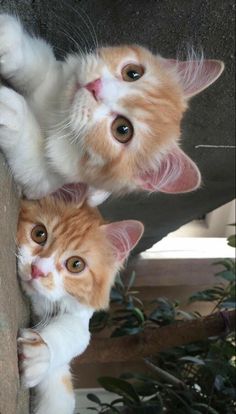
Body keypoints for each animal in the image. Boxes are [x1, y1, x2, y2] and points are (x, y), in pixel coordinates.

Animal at [0, 14, 224, 205]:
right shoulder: (54, 74)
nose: (95, 87)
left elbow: (33, 161)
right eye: (132, 73)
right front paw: (8, 41)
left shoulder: (46, 184)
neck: (56, 111)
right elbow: (38, 65)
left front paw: (13, 113)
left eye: (122, 130)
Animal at [16, 195, 143, 414]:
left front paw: (39, 356)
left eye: (76, 264)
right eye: (39, 234)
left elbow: (69, 335)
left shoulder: (81, 318)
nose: (37, 270)